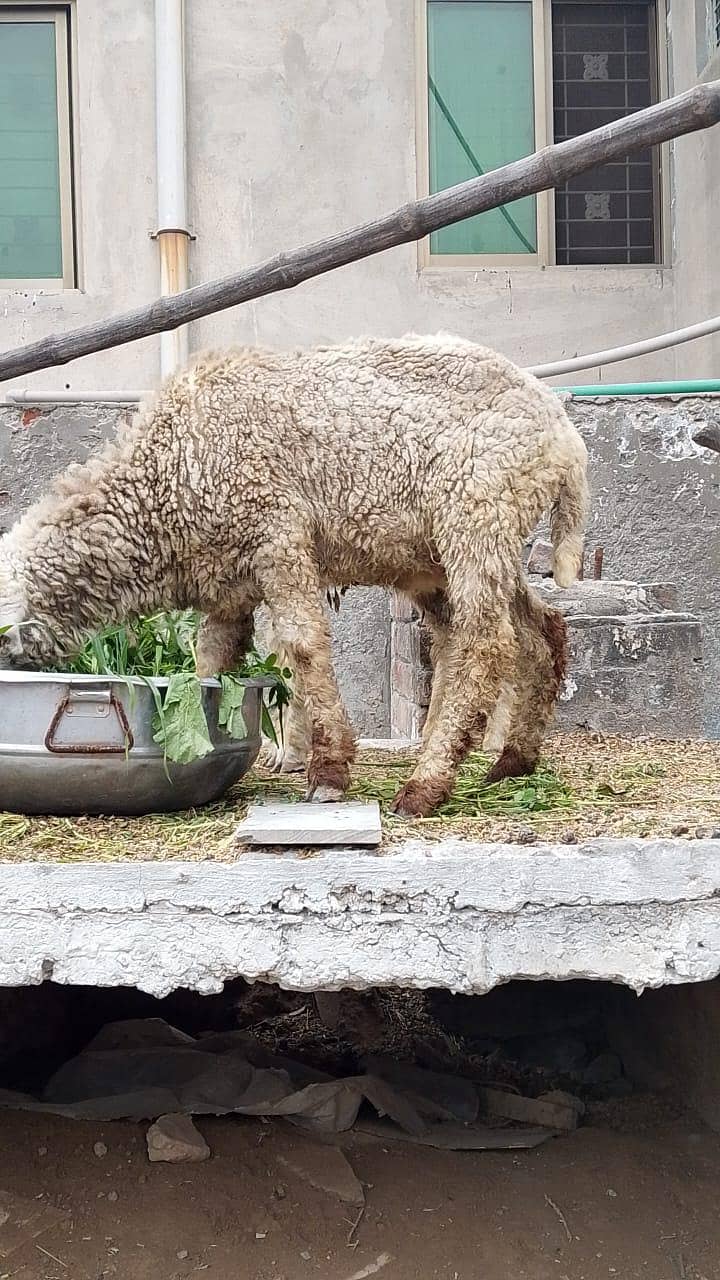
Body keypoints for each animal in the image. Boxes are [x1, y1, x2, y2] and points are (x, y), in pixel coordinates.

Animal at [0, 333, 588, 817]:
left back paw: (426, 785)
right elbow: (210, 659)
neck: (167, 479)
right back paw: (512, 761)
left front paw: (328, 771)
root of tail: (562, 433)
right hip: (450, 553)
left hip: (477, 514)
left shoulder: (277, 535)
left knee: (485, 644)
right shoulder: (229, 579)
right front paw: (201, 729)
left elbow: (302, 647)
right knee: (538, 632)